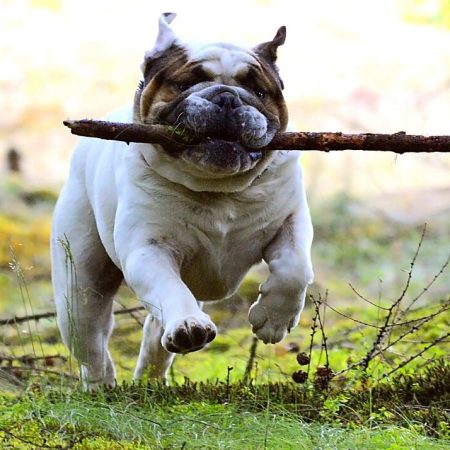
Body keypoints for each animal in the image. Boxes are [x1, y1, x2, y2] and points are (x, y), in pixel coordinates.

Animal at [51, 12, 312, 388]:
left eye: (260, 91)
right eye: (186, 83)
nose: (228, 98)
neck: (218, 190)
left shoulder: (291, 220)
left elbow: (295, 268)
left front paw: (273, 319)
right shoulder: (148, 249)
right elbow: (168, 288)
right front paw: (191, 326)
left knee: (155, 328)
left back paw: (150, 377)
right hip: (79, 285)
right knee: (91, 340)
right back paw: (104, 384)